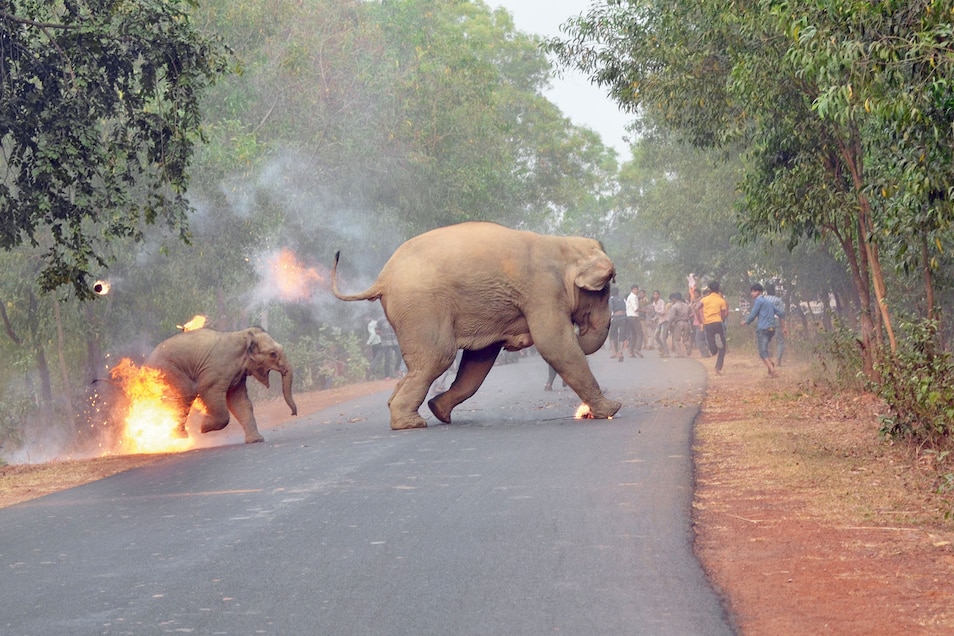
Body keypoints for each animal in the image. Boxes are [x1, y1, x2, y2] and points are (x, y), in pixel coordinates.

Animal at [142, 328, 294, 442]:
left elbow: (239, 401)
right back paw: (179, 437)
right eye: (272, 354)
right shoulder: (216, 371)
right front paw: (203, 427)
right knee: (187, 393)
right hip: (167, 370)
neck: (242, 335)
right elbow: (208, 391)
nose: (293, 413)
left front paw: (256, 440)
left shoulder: (238, 376)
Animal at [330, 221, 620, 430]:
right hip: (421, 305)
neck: (563, 244)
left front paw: (439, 409)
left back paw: (416, 411)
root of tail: (383, 278)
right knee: (439, 356)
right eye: (604, 290)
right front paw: (612, 409)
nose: (580, 331)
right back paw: (410, 424)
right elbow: (554, 344)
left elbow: (479, 360)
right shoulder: (543, 290)